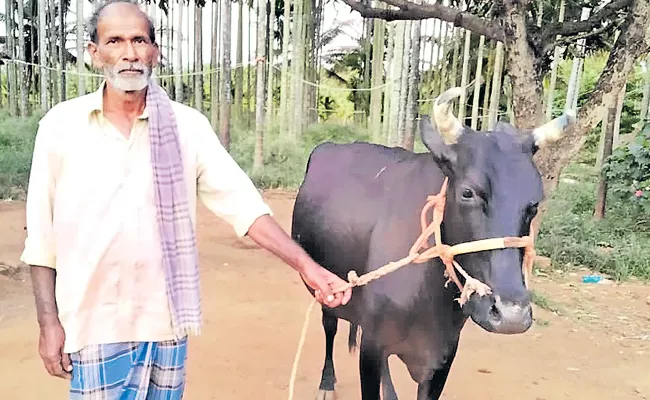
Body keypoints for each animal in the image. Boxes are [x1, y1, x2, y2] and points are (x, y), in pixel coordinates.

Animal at [292, 86, 576, 398]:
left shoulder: (443, 355)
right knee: (329, 326)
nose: (512, 315)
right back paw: (326, 383)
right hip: (326, 292)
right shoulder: (372, 345)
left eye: (534, 204)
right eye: (467, 192)